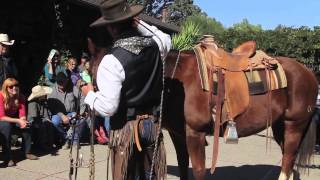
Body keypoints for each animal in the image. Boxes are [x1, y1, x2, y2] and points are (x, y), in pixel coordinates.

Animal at [87, 39, 318, 180]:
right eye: (92, 72)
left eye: (106, 74)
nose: (99, 109)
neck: (178, 83)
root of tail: (309, 73)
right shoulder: (178, 134)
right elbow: (183, 165)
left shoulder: (195, 134)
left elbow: (198, 170)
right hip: (280, 126)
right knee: (289, 159)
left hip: (294, 125)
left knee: (288, 159)